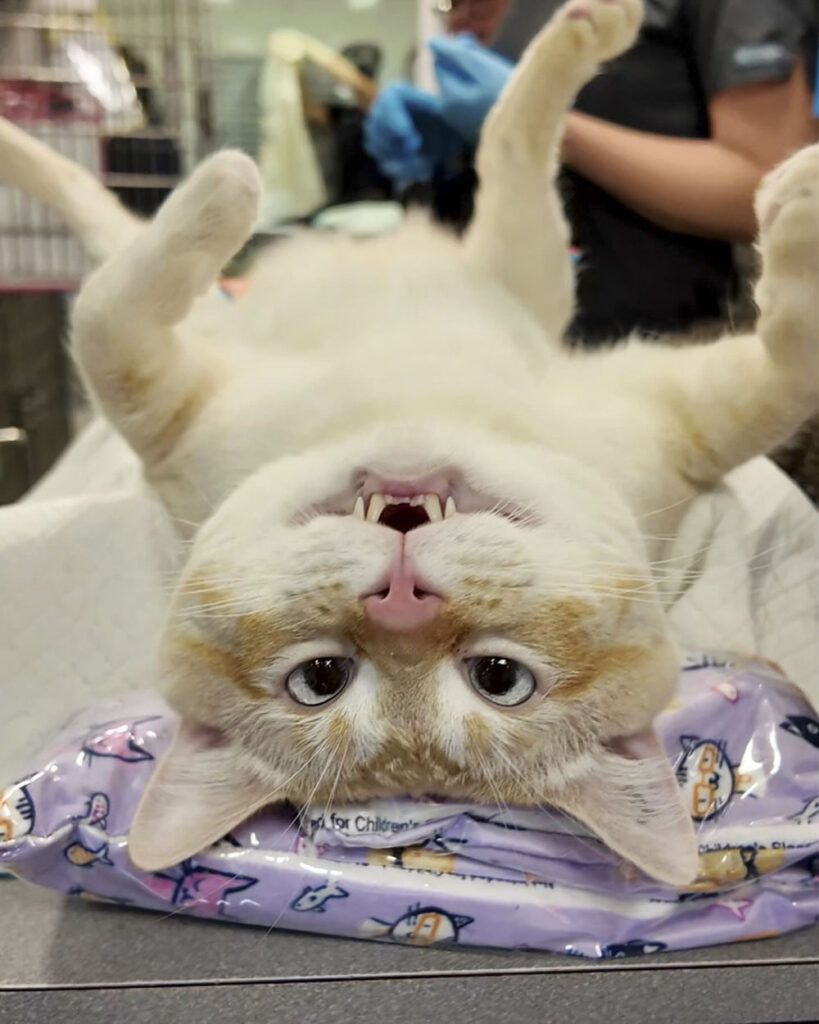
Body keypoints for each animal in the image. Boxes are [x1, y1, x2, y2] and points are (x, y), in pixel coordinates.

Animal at [0, 0, 814, 888]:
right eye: (320, 679)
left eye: (499, 678)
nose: (399, 600)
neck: (412, 400)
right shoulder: (167, 405)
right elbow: (104, 314)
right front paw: (226, 187)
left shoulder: (672, 422)